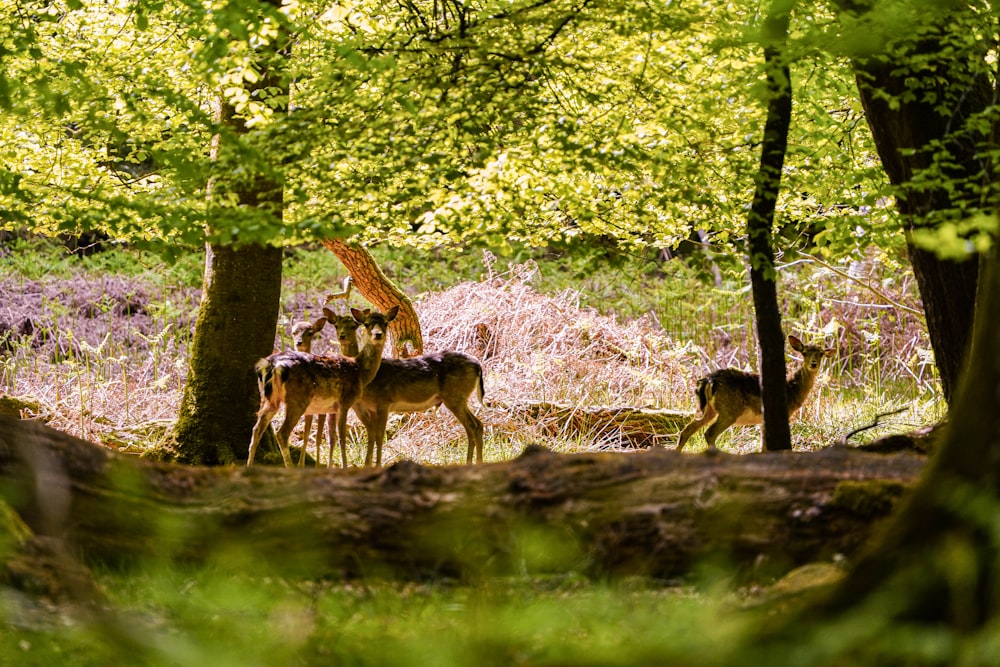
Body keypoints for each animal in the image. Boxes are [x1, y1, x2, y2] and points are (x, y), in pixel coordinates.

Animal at [247, 308, 398, 470]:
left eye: (386, 323)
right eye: (367, 324)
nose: (378, 334)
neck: (360, 370)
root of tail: (272, 364)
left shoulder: (332, 408)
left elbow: (331, 436)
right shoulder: (345, 401)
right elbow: (341, 437)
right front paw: (344, 467)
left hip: (268, 398)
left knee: (256, 429)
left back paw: (249, 466)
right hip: (297, 399)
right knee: (282, 433)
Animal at [676, 336, 832, 452]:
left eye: (821, 354)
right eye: (804, 353)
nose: (813, 364)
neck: (791, 389)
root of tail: (709, 380)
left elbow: (763, 447)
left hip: (708, 409)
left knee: (687, 429)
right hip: (729, 410)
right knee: (709, 433)